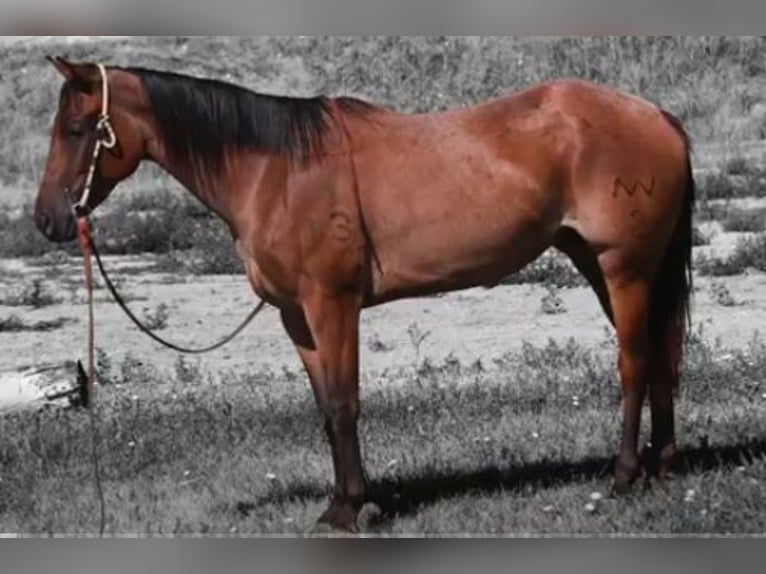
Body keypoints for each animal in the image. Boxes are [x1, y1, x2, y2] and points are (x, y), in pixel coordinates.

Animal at [35, 57, 694, 532]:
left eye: (76, 129)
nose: (47, 220)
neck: (276, 172)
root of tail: (658, 115)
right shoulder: (297, 318)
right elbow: (326, 409)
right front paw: (343, 504)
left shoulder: (333, 304)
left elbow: (346, 403)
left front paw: (355, 509)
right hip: (604, 263)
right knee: (661, 355)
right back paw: (663, 464)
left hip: (623, 267)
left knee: (635, 362)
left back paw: (624, 475)